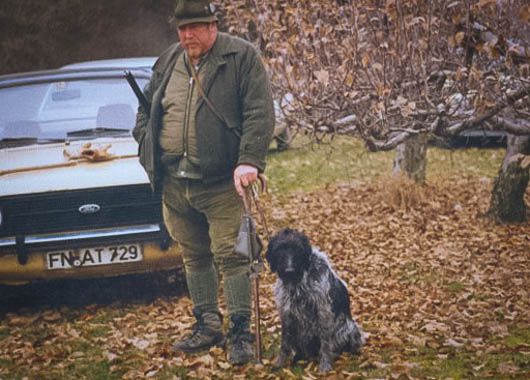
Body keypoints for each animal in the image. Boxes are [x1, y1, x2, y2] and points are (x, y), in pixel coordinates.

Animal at [264, 227, 364, 372]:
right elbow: (284, 342)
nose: (289, 270)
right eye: (280, 248)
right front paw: (279, 362)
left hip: (348, 328)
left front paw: (325, 365)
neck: (298, 281)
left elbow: (325, 342)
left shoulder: (323, 311)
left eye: (297, 249)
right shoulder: (286, 312)